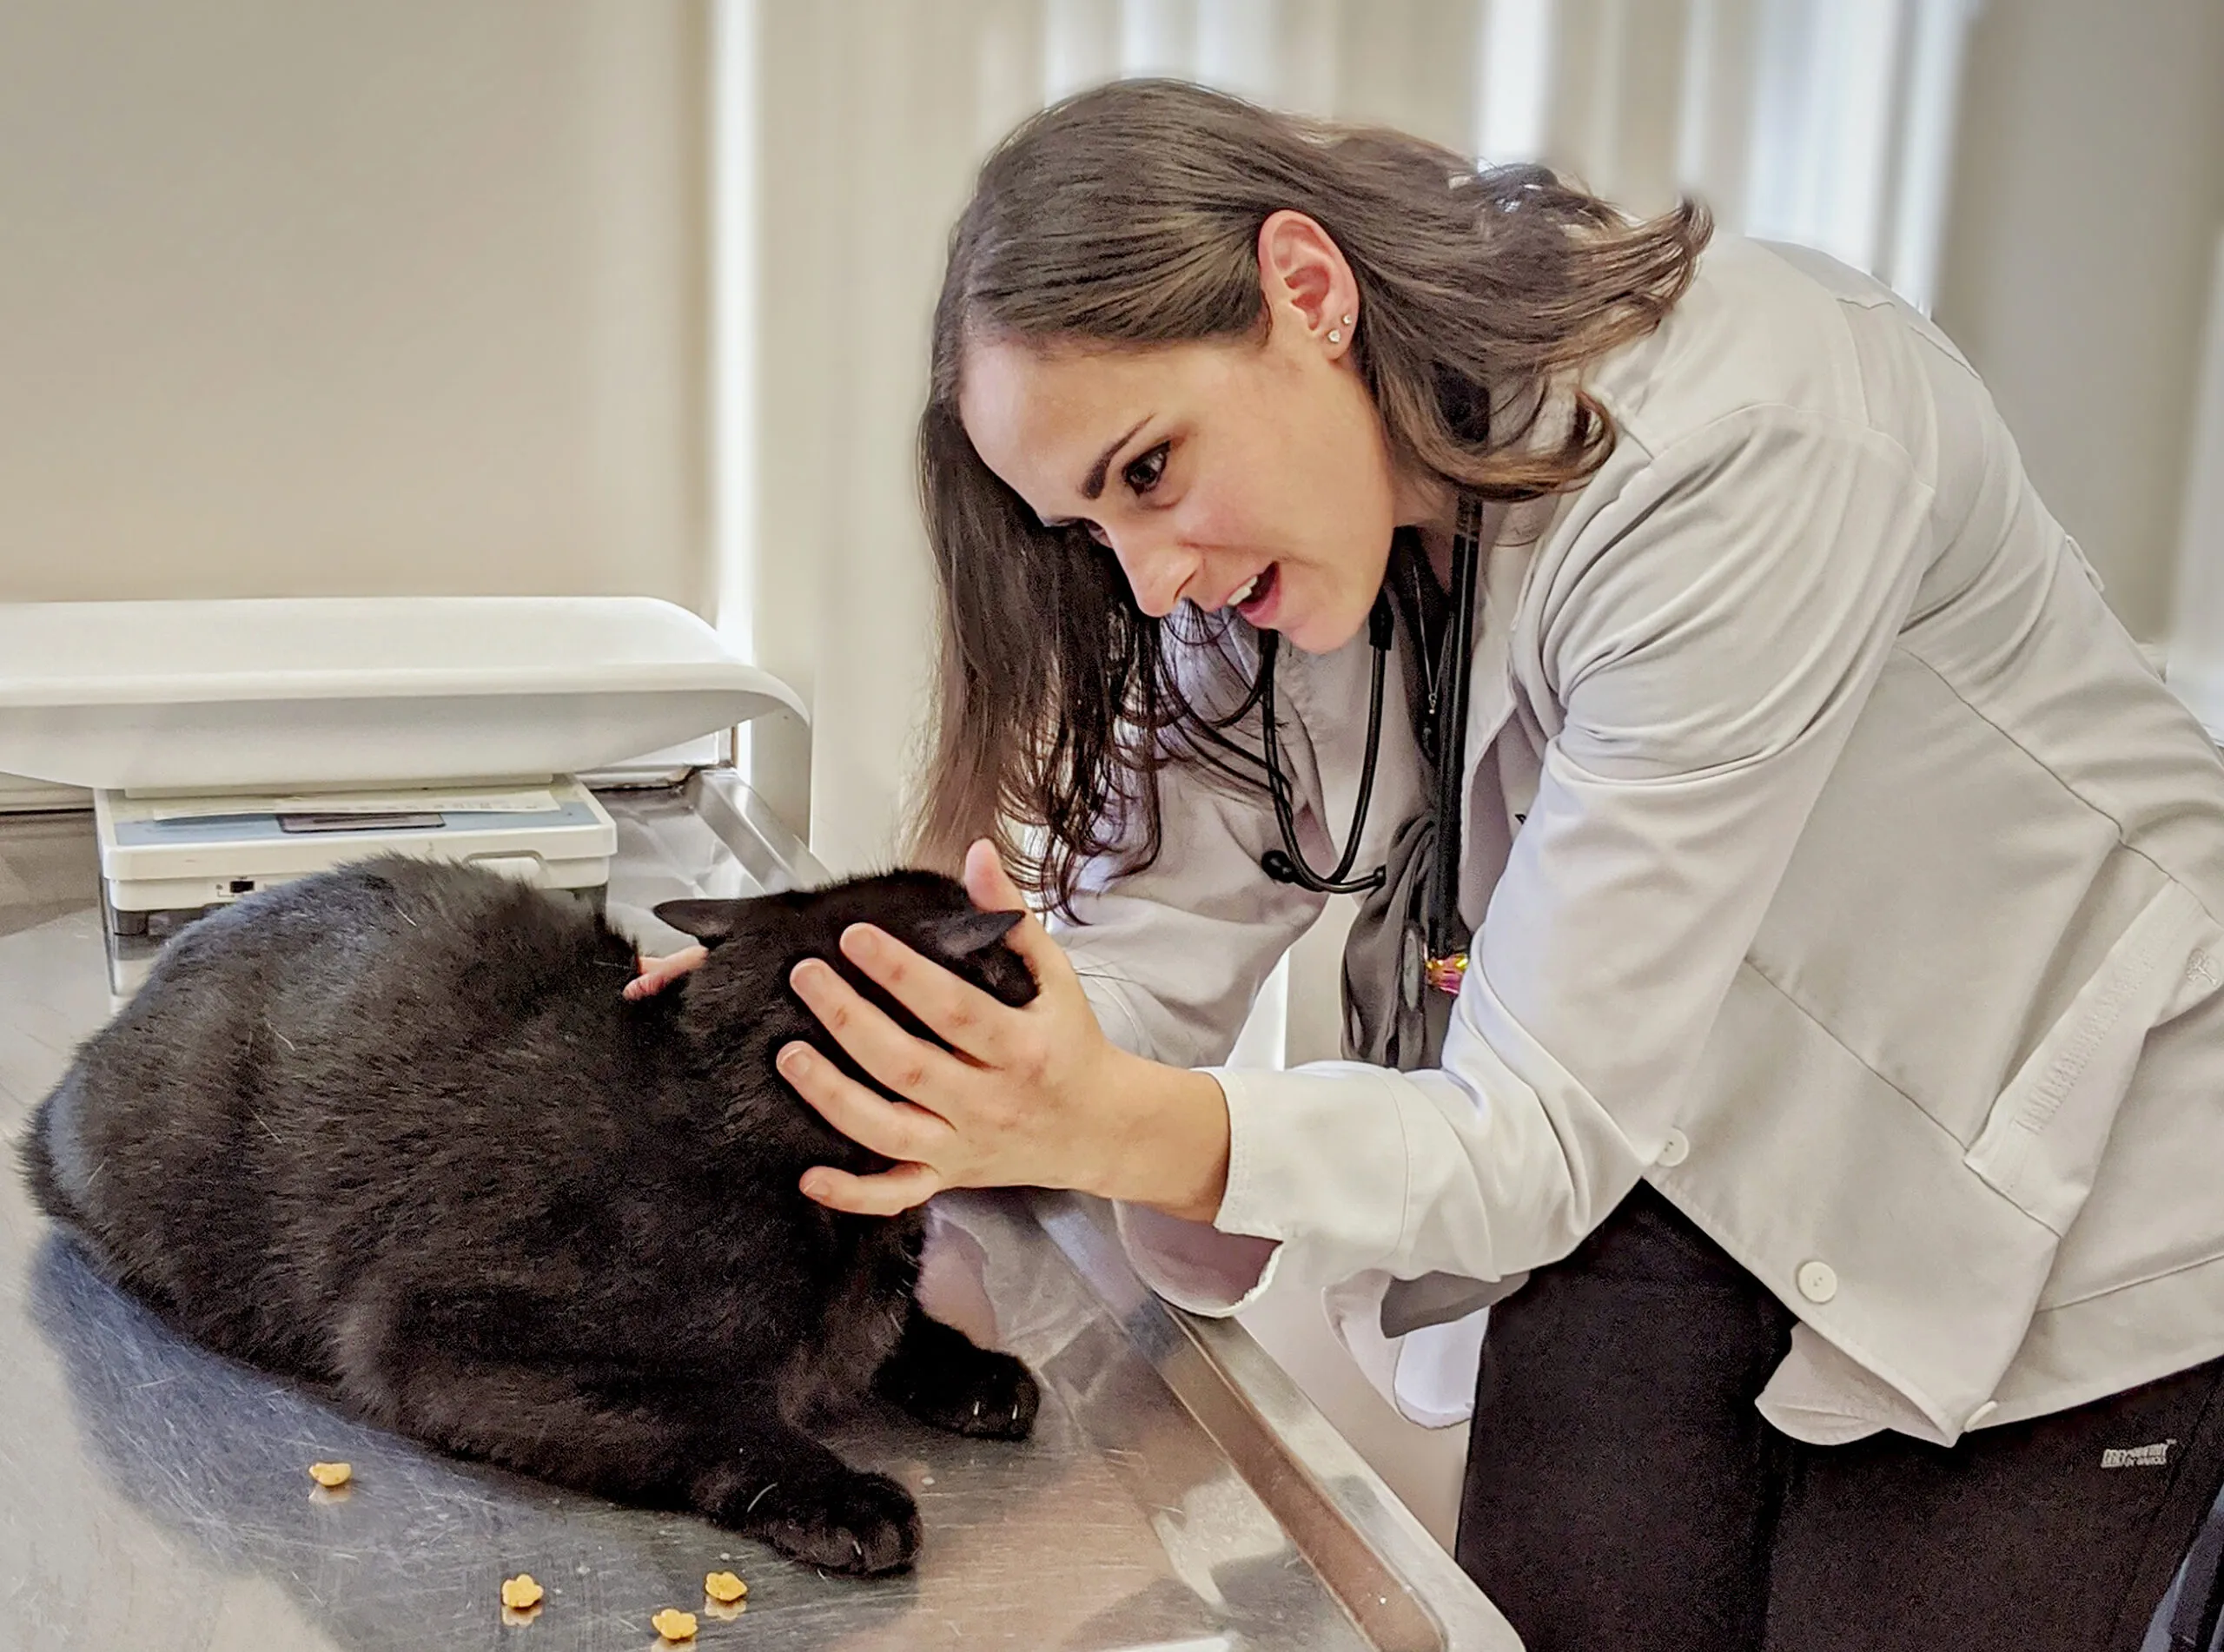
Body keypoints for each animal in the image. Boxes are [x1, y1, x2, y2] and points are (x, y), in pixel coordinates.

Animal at [19, 867, 1041, 1574]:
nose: (1034, 966)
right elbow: (713, 1415)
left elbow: (901, 1332)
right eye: (1009, 968)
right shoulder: (428, 1338)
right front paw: (838, 1496)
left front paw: (974, 1370)